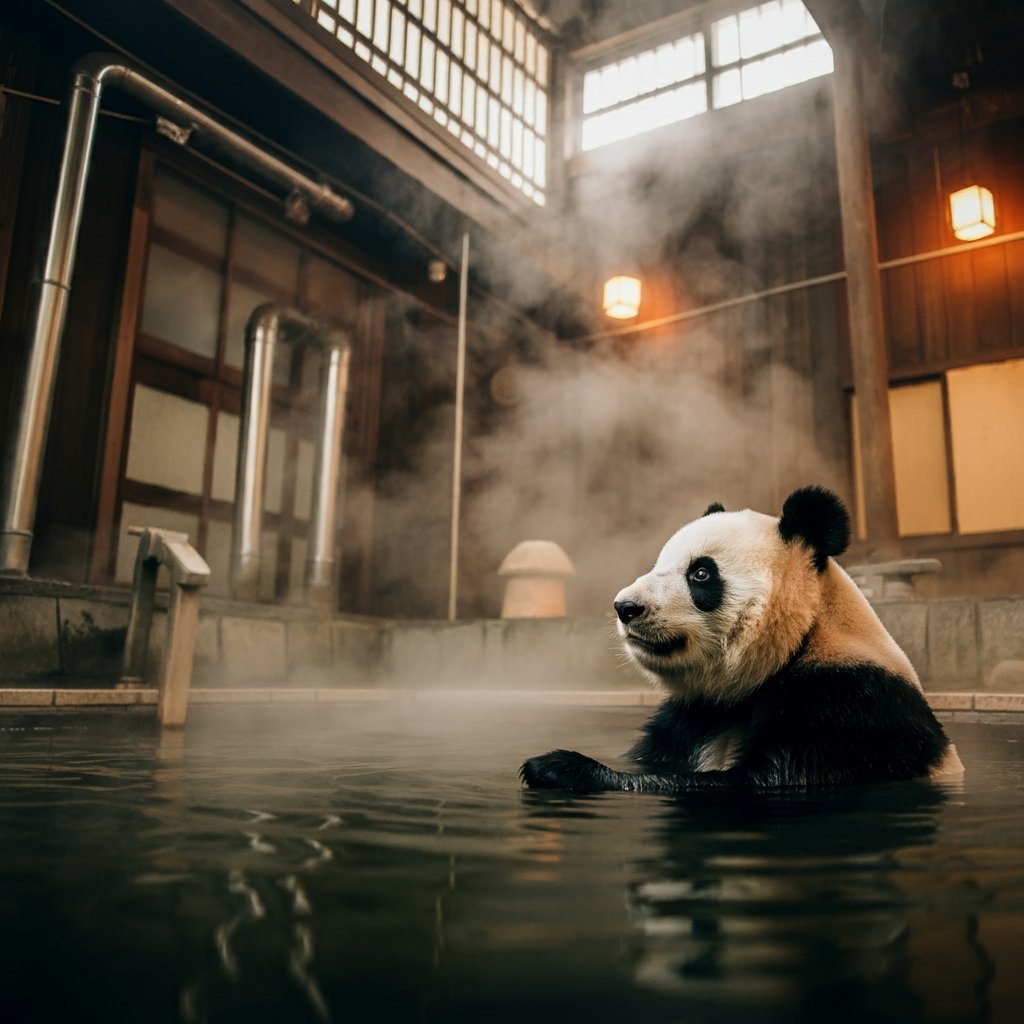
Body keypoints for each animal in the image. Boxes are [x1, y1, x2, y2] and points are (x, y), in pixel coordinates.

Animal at [521, 486, 963, 793]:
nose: (626, 607)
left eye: (700, 573)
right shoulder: (692, 716)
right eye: (659, 564)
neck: (804, 638)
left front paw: (560, 767)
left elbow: (764, 780)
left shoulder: (847, 703)